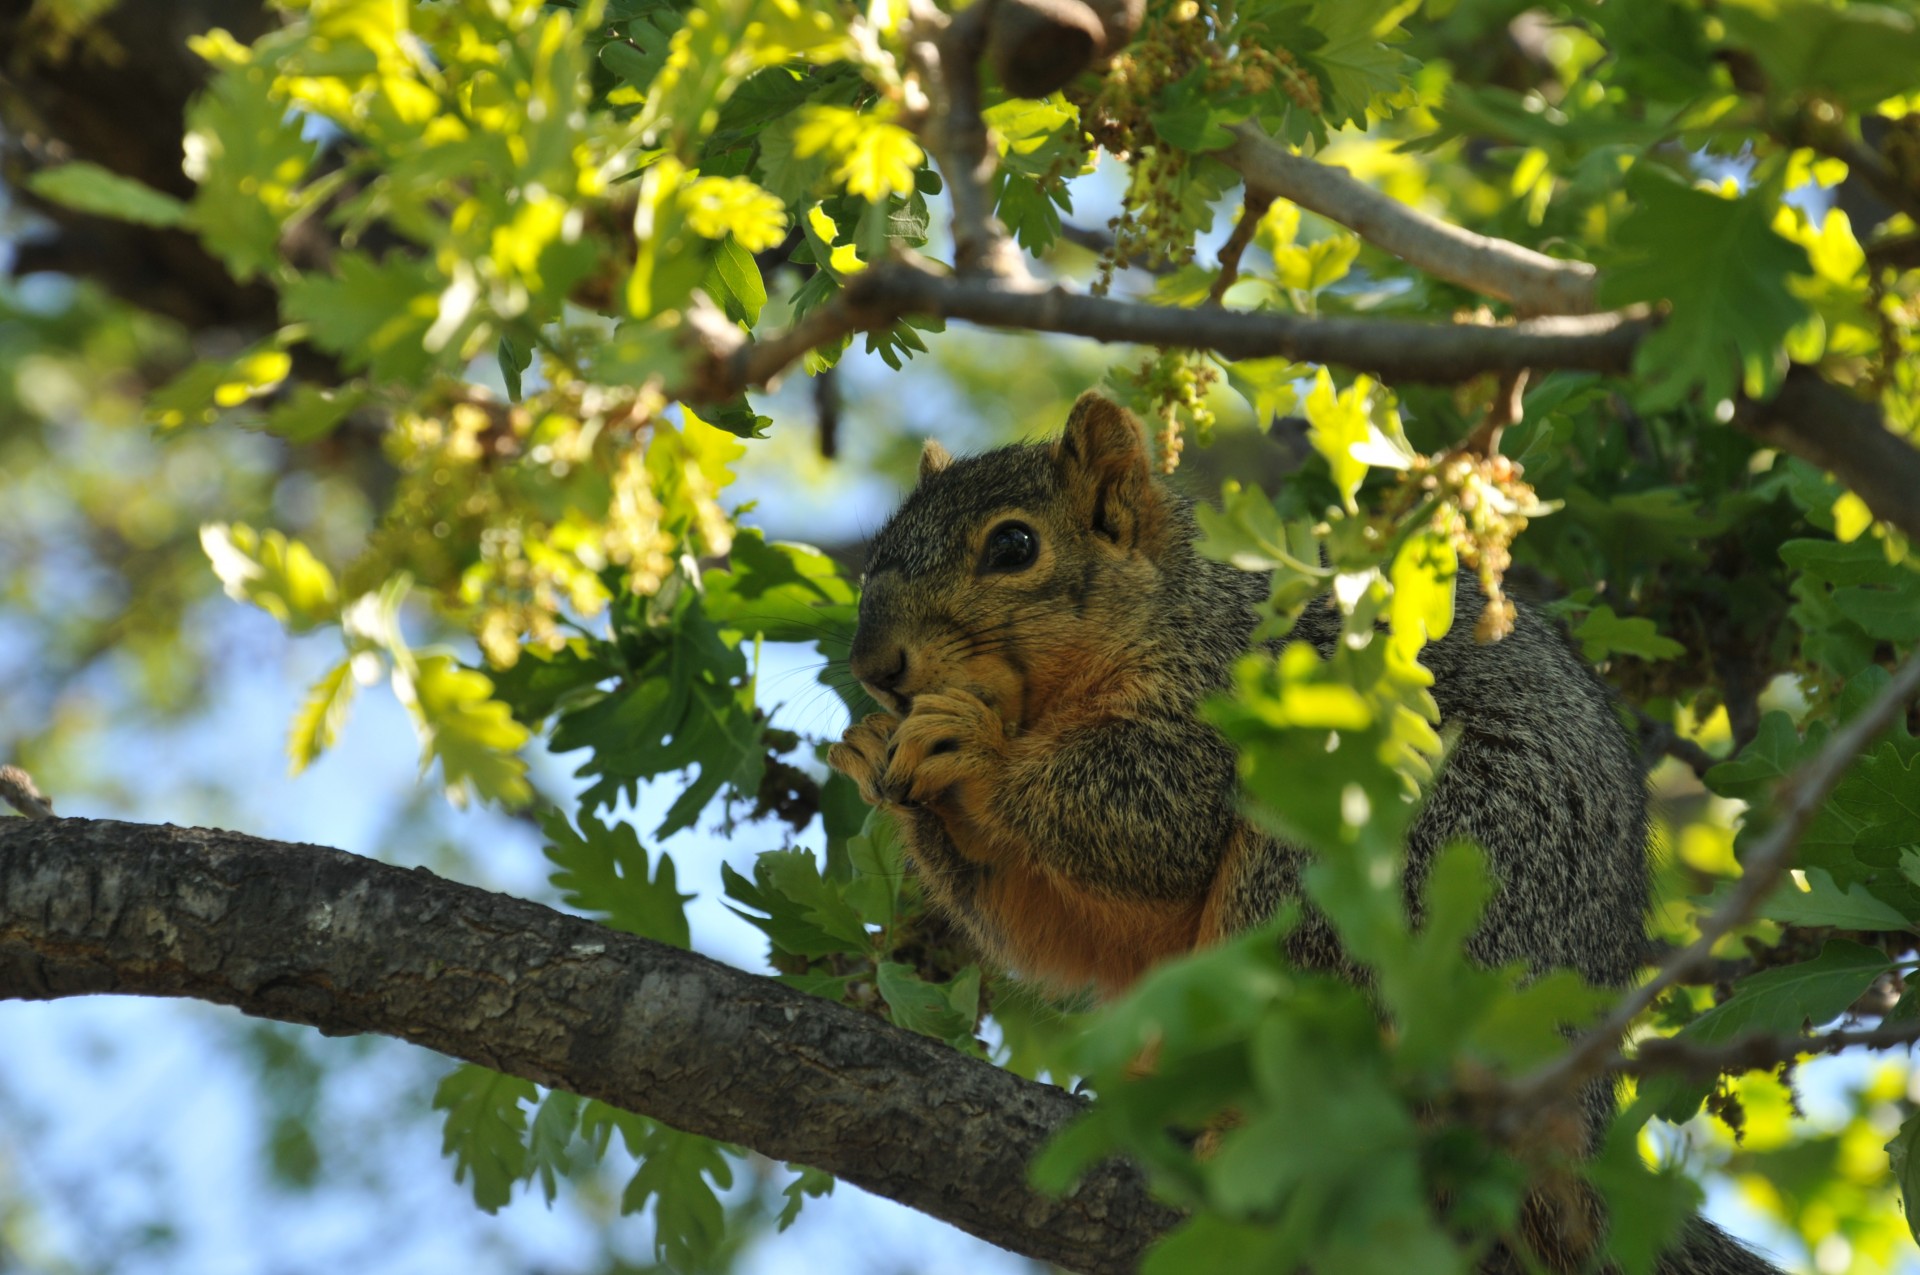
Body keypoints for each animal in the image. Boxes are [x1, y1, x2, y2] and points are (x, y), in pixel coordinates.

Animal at [825, 391, 1781, 1275]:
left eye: (1014, 547)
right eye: (875, 554)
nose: (875, 667)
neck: (1164, 616)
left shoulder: (1238, 697)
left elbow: (1155, 819)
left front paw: (972, 748)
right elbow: (1077, 927)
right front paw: (880, 758)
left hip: (1382, 869)